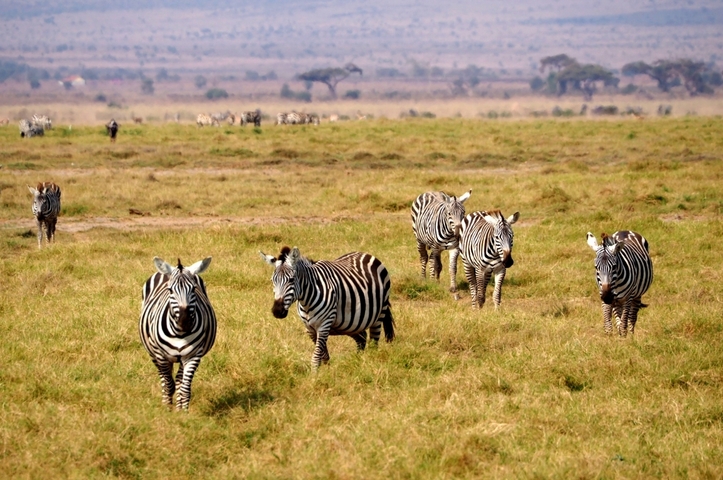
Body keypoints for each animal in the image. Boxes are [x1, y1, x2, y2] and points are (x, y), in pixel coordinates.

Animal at [139, 257, 217, 410]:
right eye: (170, 290)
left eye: (193, 289)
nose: (184, 321)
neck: (180, 333)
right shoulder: (160, 355)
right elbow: (169, 385)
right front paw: (167, 410)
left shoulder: (193, 356)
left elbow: (185, 388)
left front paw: (184, 412)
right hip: (152, 352)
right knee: (164, 378)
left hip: (182, 357)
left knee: (179, 379)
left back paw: (179, 406)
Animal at [260, 246, 395, 370]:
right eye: (272, 281)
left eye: (292, 280)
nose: (277, 311)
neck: (306, 301)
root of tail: (365, 253)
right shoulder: (310, 328)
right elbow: (323, 355)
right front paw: (326, 372)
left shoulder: (324, 324)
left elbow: (316, 356)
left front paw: (314, 377)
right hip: (350, 324)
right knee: (362, 338)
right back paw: (357, 362)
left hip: (379, 315)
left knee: (374, 343)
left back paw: (369, 364)